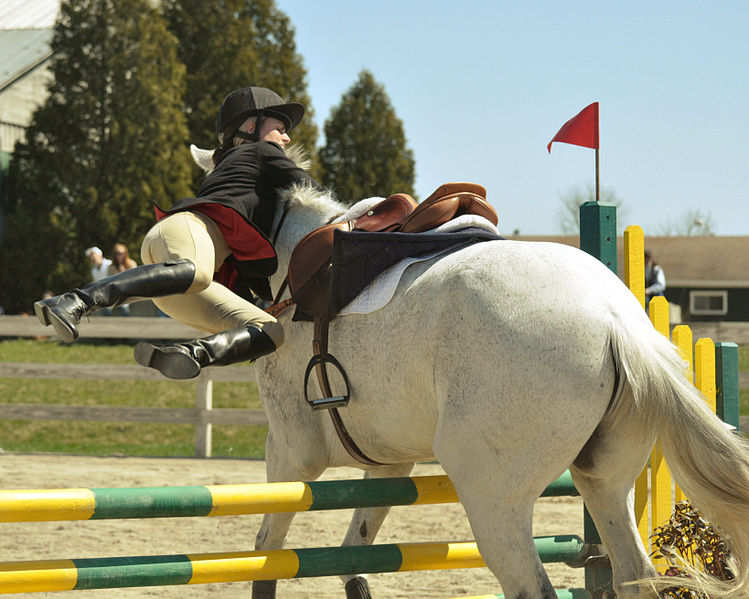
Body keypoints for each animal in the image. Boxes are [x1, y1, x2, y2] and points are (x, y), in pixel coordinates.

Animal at [190, 146, 748, 599]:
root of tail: (616, 320)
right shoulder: (388, 461)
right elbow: (353, 555)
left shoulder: (292, 451)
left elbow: (267, 552)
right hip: (605, 482)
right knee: (634, 574)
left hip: (491, 495)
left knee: (530, 585)